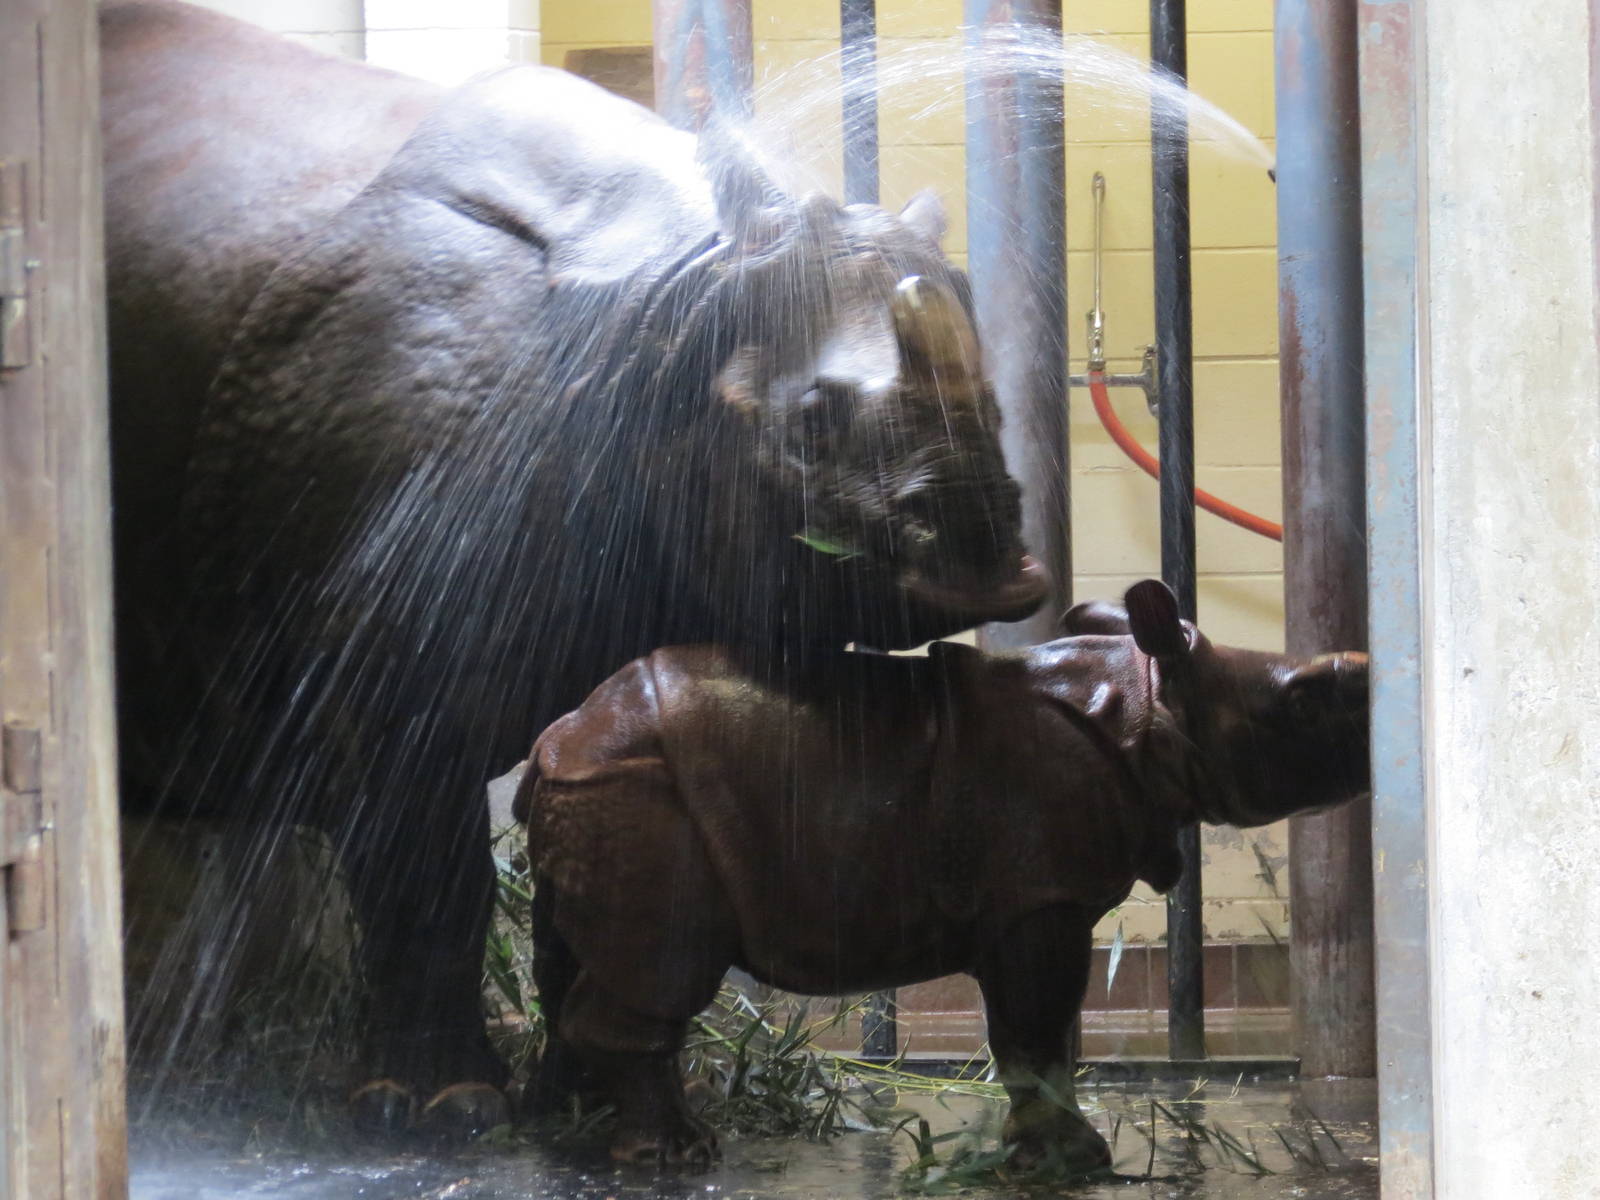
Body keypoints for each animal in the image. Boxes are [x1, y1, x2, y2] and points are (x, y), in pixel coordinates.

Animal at [101, 0, 1044, 1111]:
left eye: (1001, 412)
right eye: (811, 423)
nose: (997, 570)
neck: (680, 306)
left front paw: (580, 1099)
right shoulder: (381, 670)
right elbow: (430, 876)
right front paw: (445, 1107)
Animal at [516, 581, 1370, 1167]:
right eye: (1303, 703)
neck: (1149, 703)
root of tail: (557, 740)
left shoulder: (1031, 899)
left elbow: (1038, 1031)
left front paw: (1053, 1149)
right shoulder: (1041, 898)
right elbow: (1034, 1028)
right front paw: (1068, 1160)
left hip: (604, 790)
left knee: (574, 959)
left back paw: (575, 1123)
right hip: (643, 794)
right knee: (664, 967)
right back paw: (678, 1152)